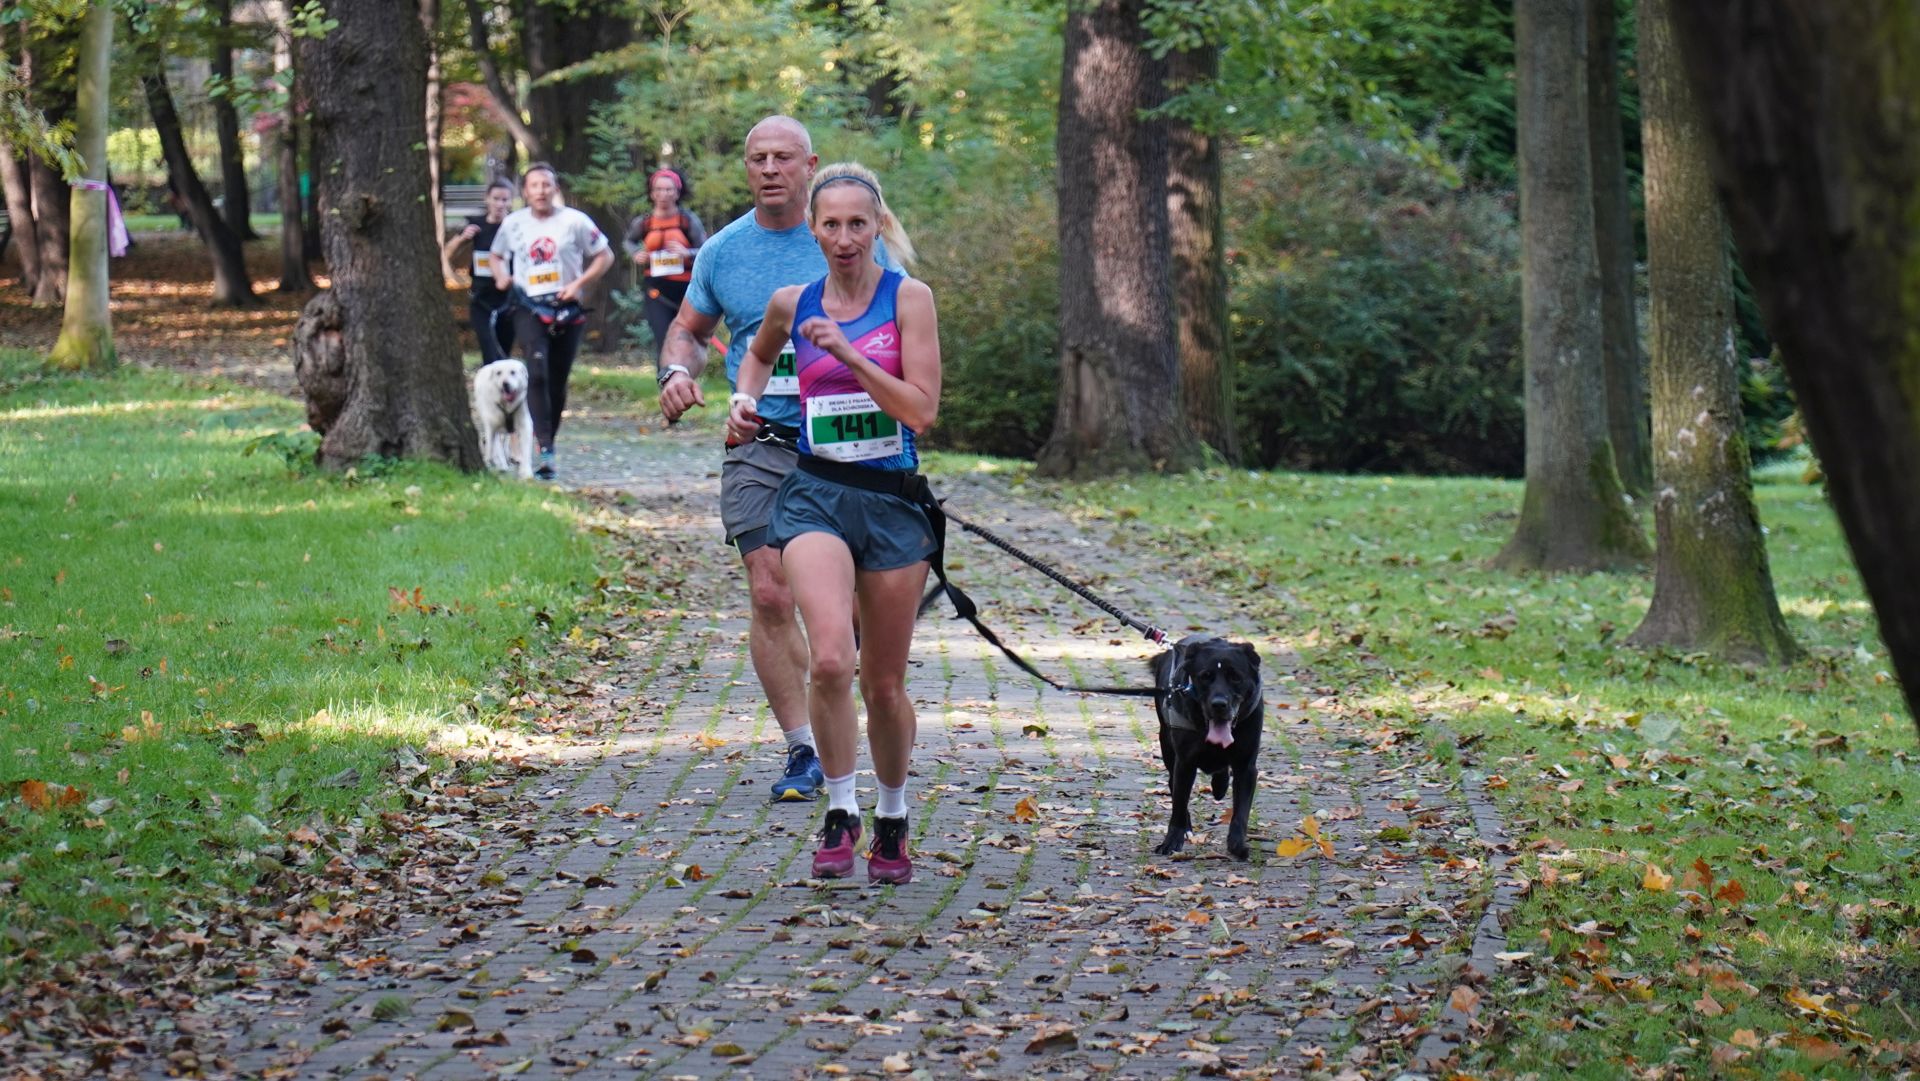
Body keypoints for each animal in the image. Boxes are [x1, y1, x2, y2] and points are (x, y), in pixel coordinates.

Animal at [1144, 633, 1267, 864]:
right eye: (1205, 676)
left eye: (1235, 677)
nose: (1219, 704)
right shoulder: (1185, 763)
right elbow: (1178, 805)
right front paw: (1171, 842)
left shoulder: (1246, 767)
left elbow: (1241, 812)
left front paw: (1237, 845)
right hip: (1167, 746)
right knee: (1173, 785)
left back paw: (1220, 784)